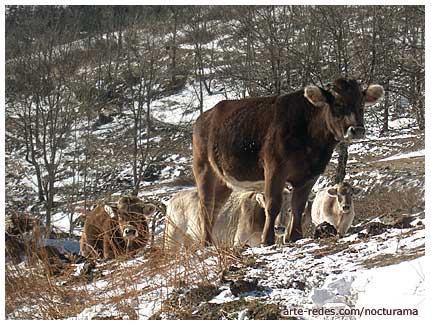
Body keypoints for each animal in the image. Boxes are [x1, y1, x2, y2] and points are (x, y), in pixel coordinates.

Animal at [165, 187, 294, 251]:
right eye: (268, 210)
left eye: (289, 210)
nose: (279, 228)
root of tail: (173, 199)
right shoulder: (240, 241)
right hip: (172, 234)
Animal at [192, 77, 384, 244]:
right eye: (338, 104)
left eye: (361, 104)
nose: (357, 130)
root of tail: (204, 117)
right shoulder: (274, 169)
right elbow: (273, 204)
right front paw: (267, 240)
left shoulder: (310, 175)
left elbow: (298, 206)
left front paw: (295, 237)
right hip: (204, 169)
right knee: (205, 207)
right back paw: (206, 243)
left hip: (223, 180)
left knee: (214, 209)